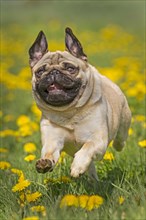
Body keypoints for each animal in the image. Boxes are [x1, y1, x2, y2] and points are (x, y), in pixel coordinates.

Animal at [28, 27, 131, 181]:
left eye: (70, 69)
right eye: (40, 72)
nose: (54, 72)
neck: (68, 112)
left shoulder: (98, 140)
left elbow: (87, 148)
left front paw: (77, 166)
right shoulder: (52, 141)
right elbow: (49, 153)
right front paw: (45, 162)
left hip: (124, 121)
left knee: (120, 138)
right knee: (91, 167)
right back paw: (92, 179)